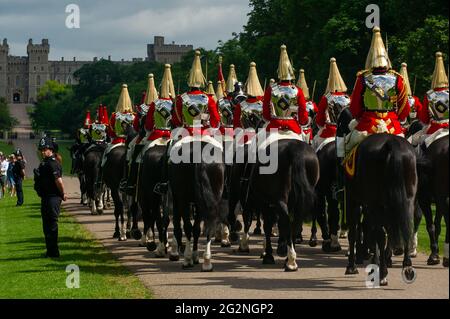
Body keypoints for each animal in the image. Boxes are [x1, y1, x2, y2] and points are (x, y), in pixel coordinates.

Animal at [344, 134, 418, 286]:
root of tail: (392, 143)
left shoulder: (353, 200)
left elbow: (355, 232)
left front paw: (352, 266)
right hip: (407, 201)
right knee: (405, 228)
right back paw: (407, 267)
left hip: (373, 203)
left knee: (380, 235)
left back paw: (383, 273)